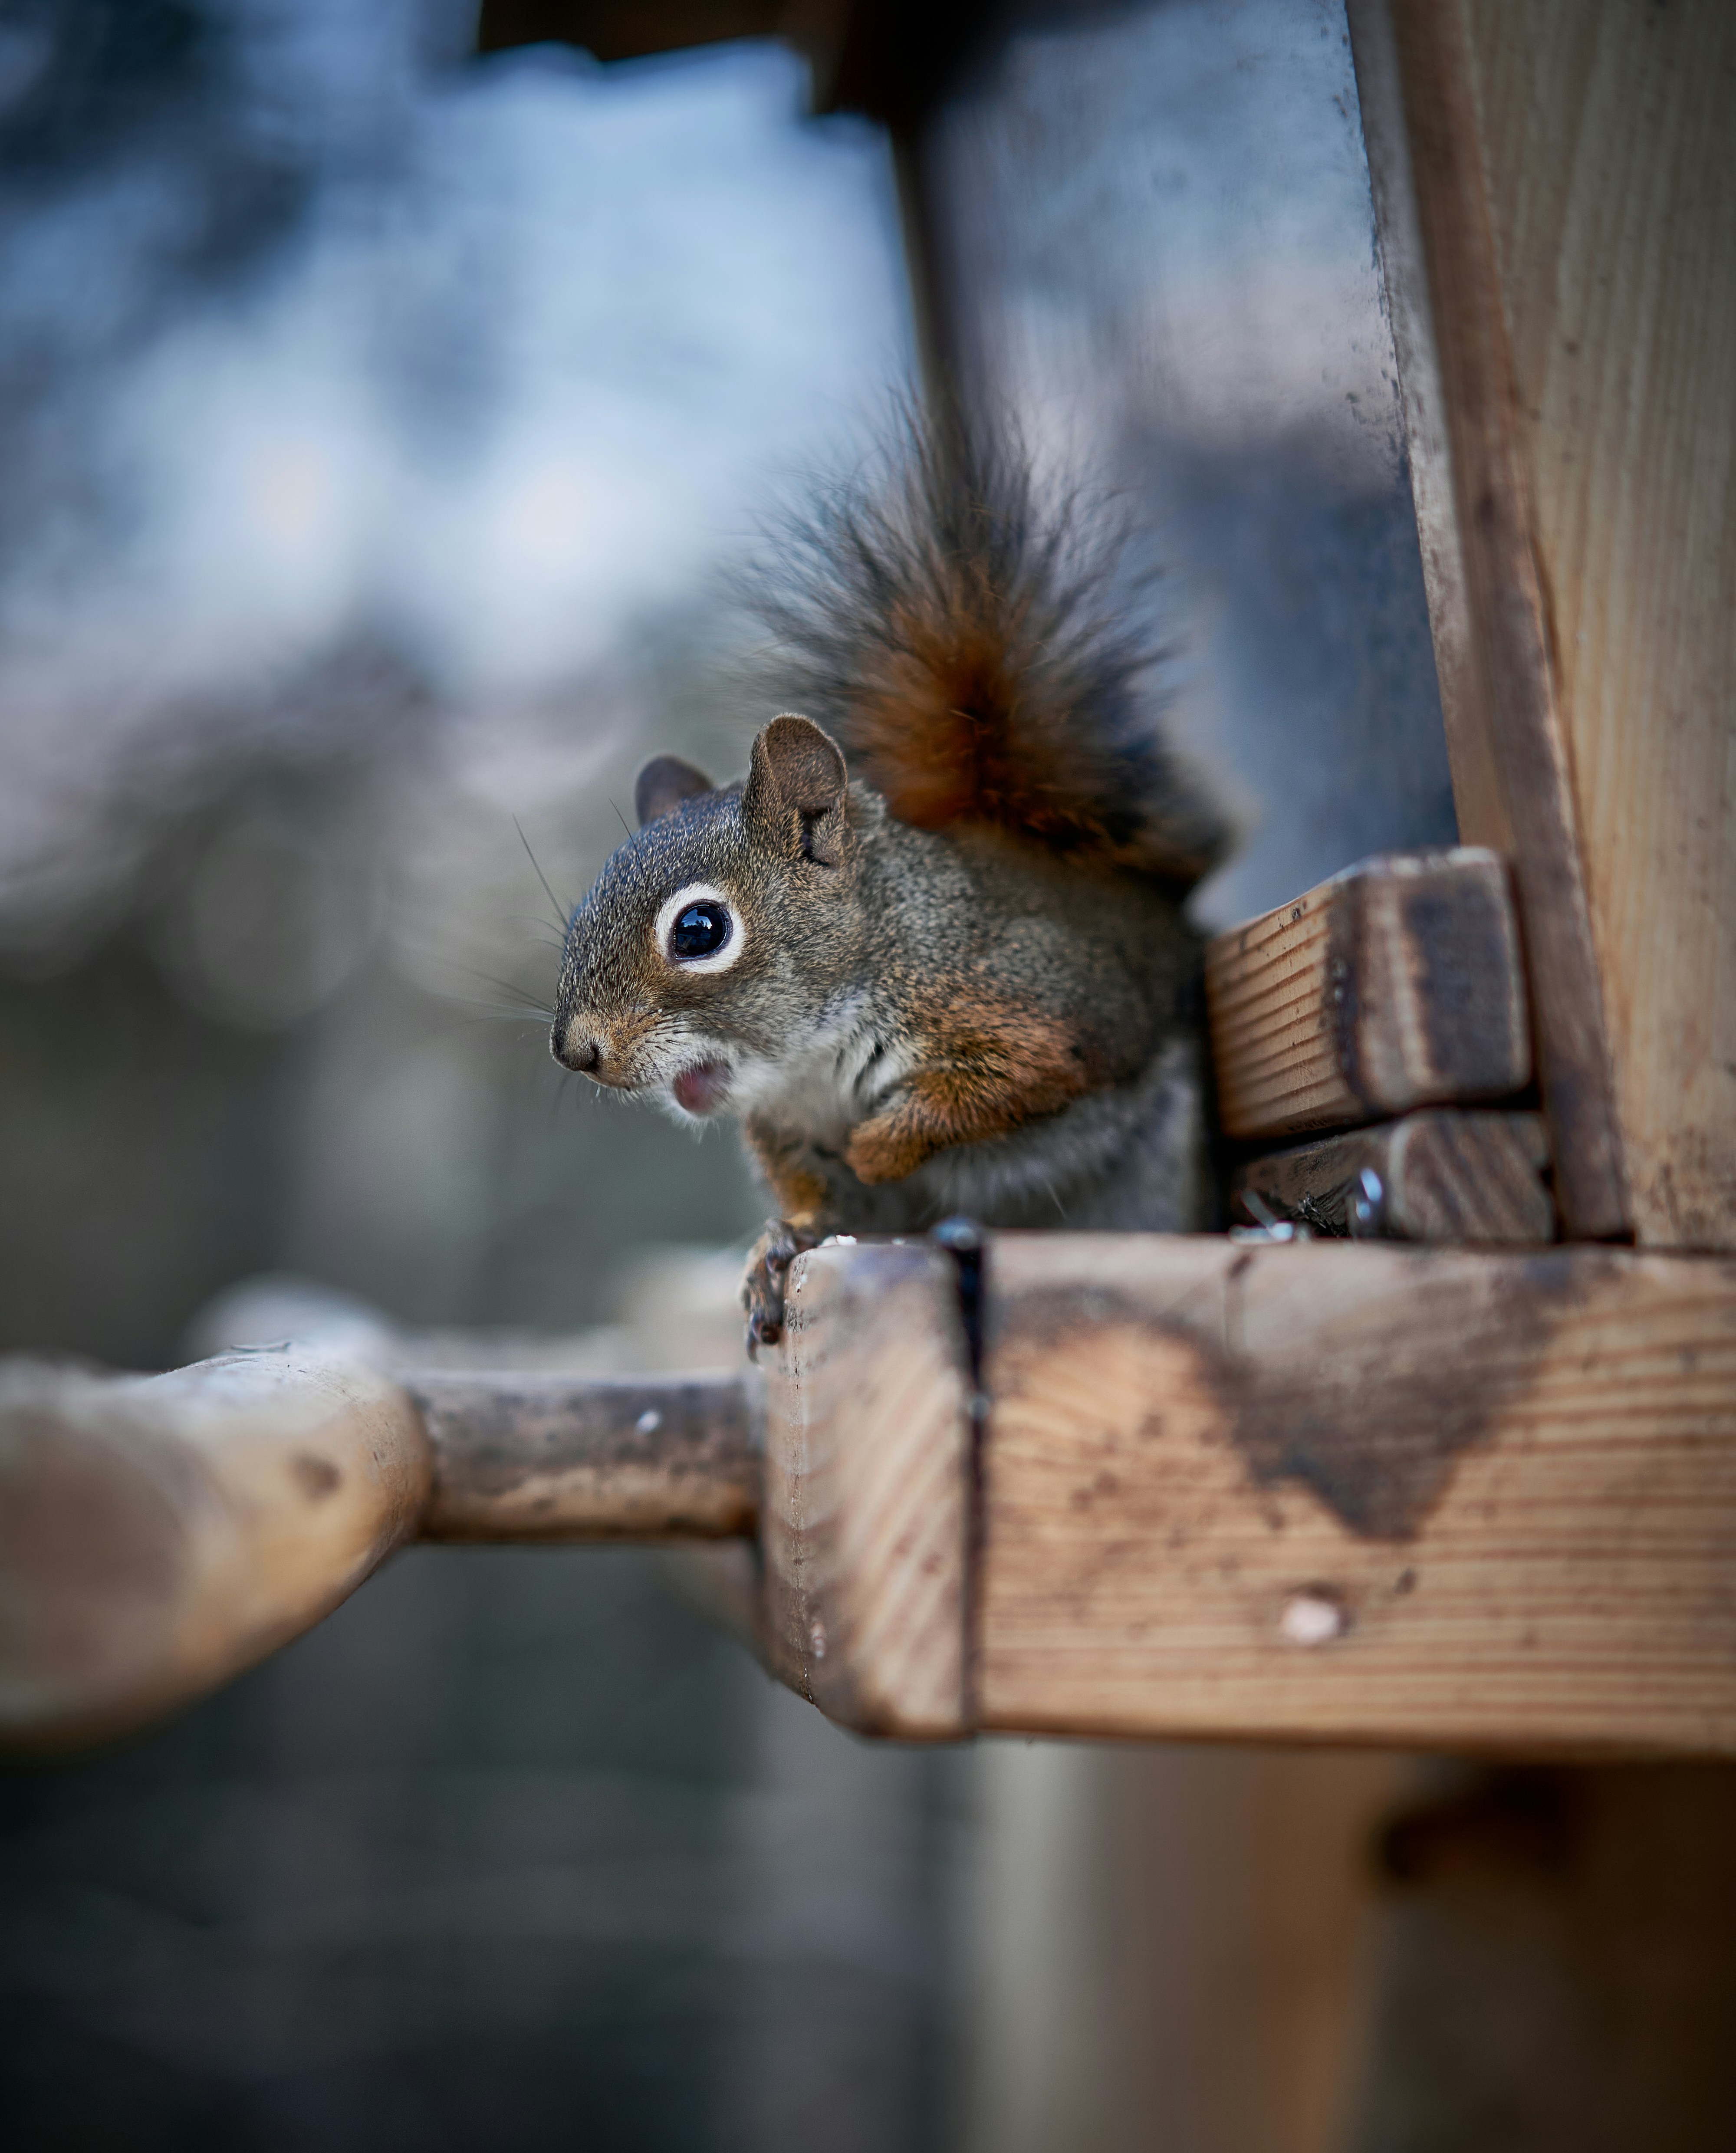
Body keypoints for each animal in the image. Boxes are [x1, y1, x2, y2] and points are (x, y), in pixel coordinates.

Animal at [549, 413, 1230, 1350]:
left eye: (699, 931)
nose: (577, 1051)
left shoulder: (1032, 1006)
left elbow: (1006, 1085)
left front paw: (878, 1145)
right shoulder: (786, 1126)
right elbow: (822, 1201)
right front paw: (781, 1243)